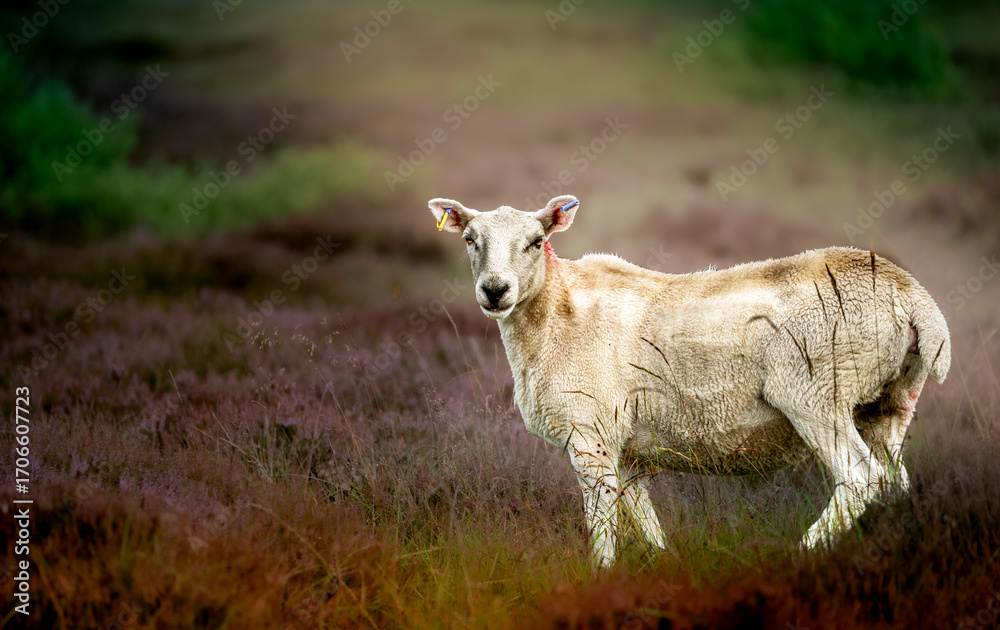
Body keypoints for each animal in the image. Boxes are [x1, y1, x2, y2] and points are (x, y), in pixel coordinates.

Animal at [427, 194, 951, 567]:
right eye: (470, 239)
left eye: (536, 241)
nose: (495, 290)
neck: (556, 312)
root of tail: (916, 300)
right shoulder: (625, 447)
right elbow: (643, 521)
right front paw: (664, 568)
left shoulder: (590, 435)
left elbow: (602, 524)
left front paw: (599, 581)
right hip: (889, 405)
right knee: (895, 482)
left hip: (816, 395)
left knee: (862, 480)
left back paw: (797, 558)